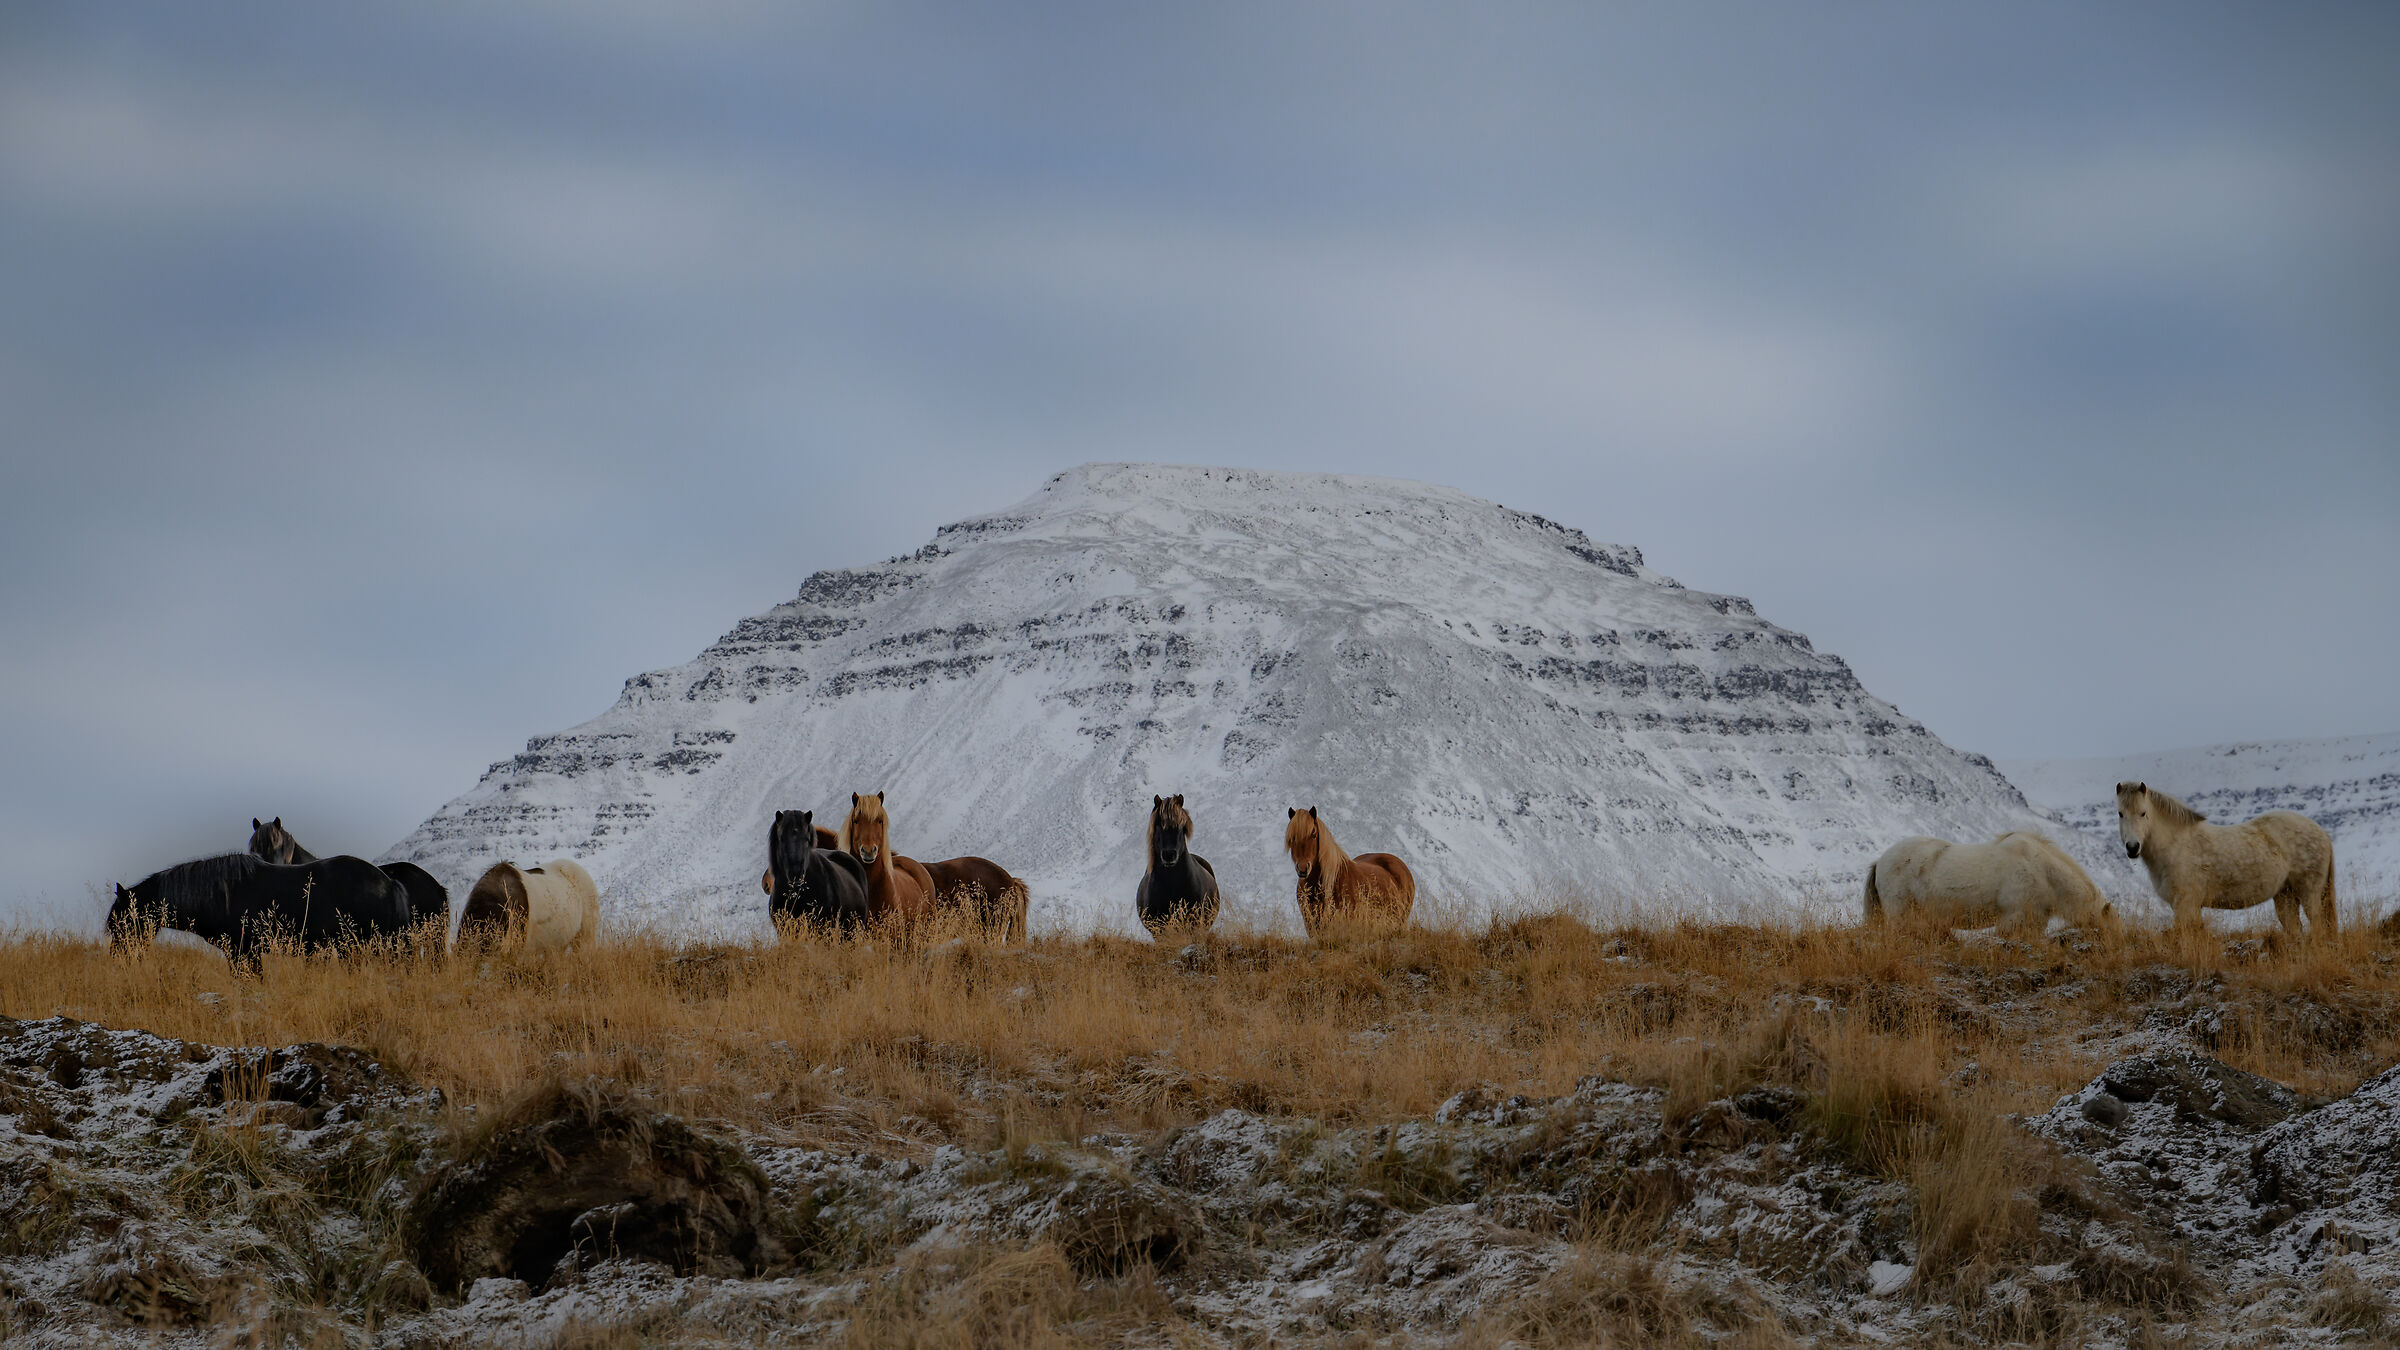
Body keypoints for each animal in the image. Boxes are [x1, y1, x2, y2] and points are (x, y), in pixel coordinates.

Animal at [1134, 794, 1218, 938]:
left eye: (1181, 826)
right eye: (1158, 825)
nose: (1169, 855)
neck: (1172, 885)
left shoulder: (1194, 925)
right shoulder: (1159, 931)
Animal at [2117, 781, 2337, 935]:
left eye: (2143, 813)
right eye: (2120, 813)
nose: (2132, 847)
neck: (2175, 845)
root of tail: (2322, 833)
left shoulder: (2186, 905)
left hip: (2309, 893)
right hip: (2286, 895)